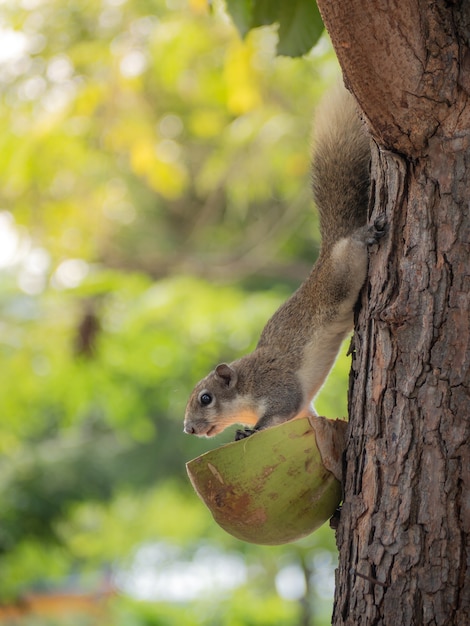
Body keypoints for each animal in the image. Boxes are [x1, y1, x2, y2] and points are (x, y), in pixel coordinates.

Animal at [184, 84, 386, 438]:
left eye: (206, 398)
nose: (188, 429)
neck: (247, 388)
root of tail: (330, 247)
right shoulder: (301, 408)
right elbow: (305, 413)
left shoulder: (277, 386)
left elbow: (282, 409)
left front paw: (250, 431)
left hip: (342, 272)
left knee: (351, 250)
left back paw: (364, 236)